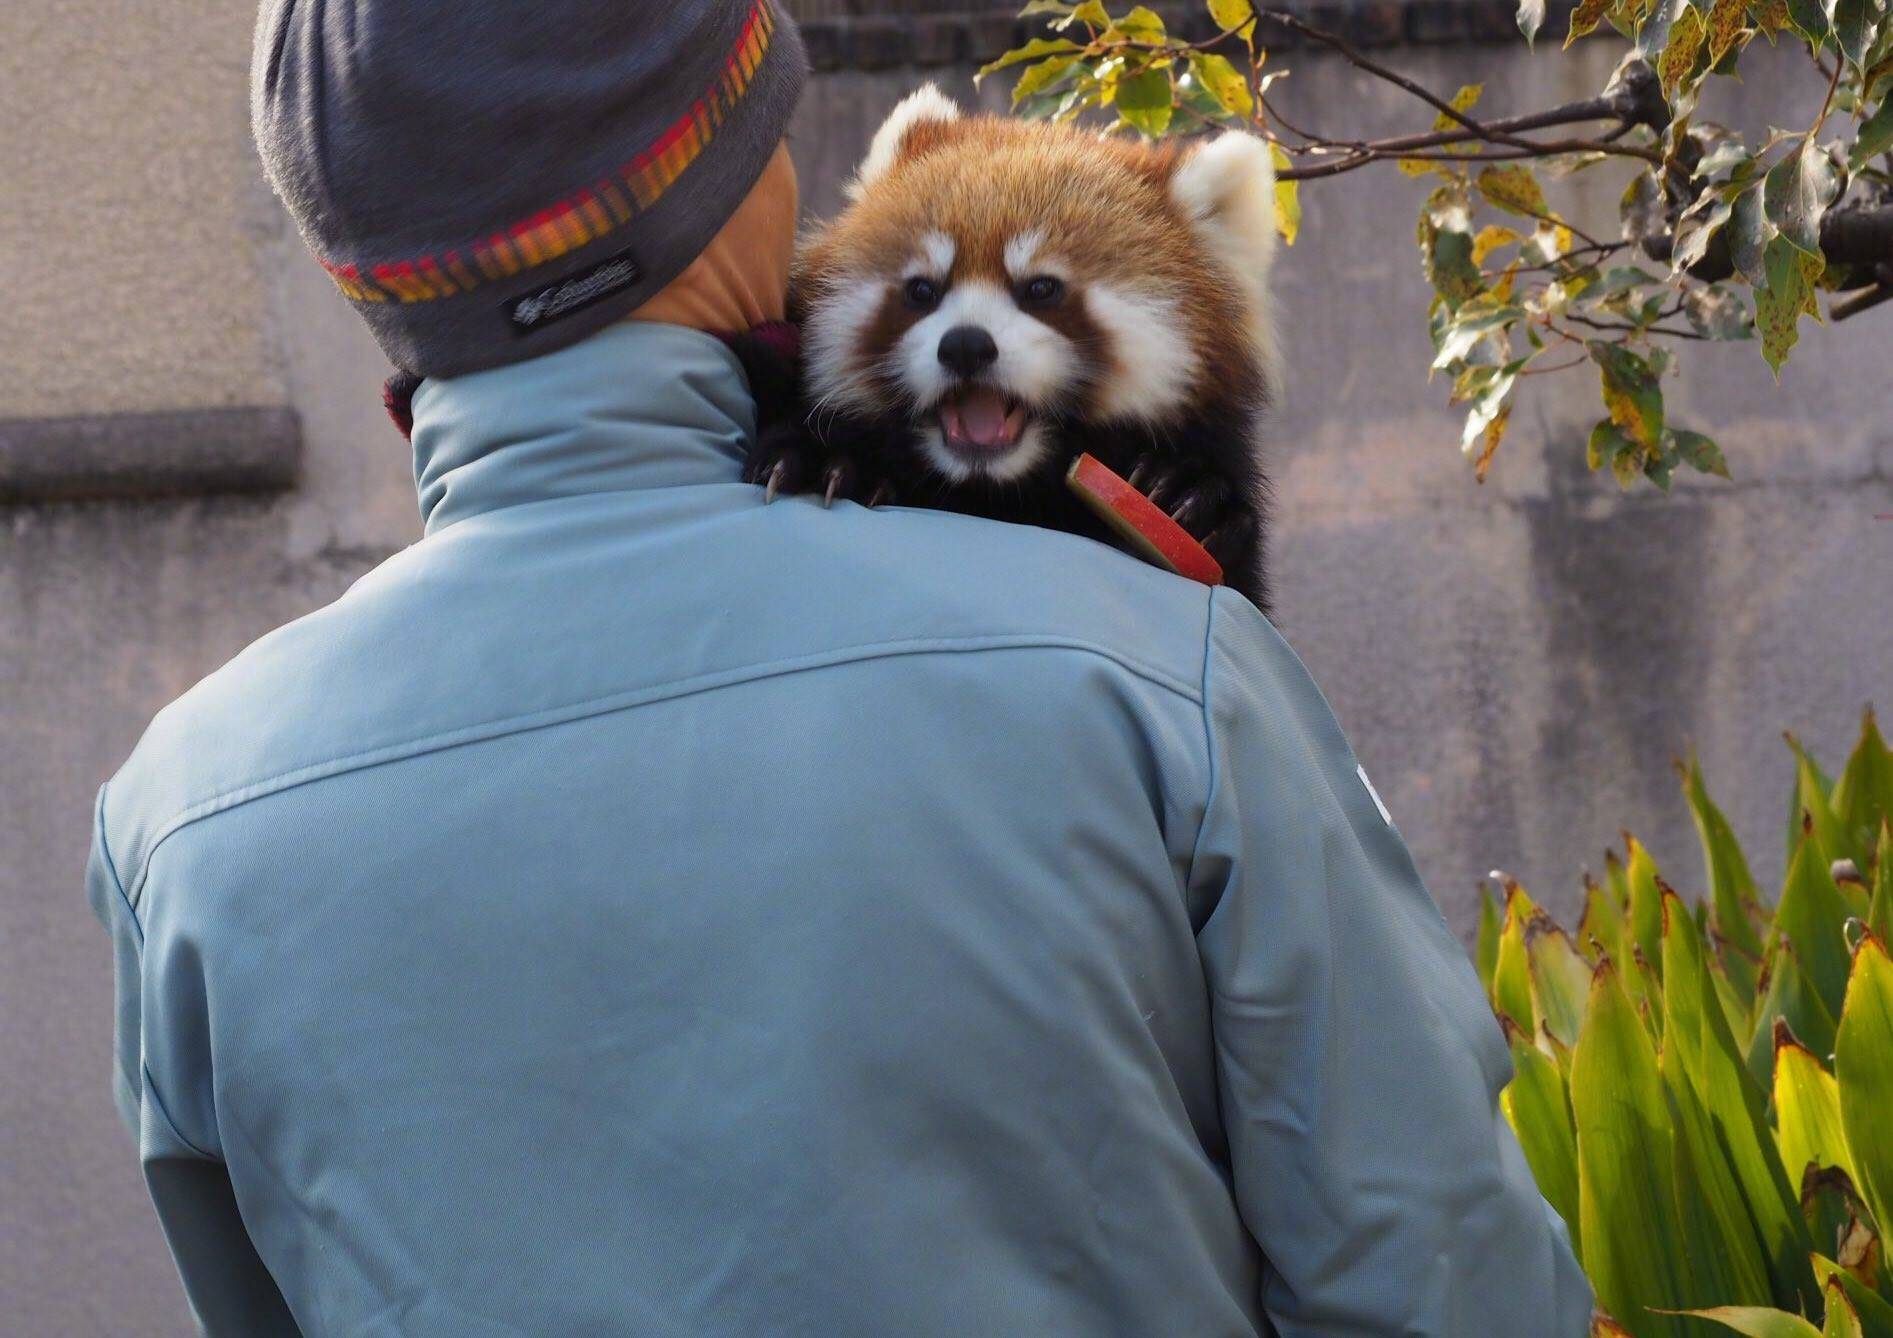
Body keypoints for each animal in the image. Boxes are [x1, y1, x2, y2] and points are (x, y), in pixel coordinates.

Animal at [730, 83, 1279, 605]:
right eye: (922, 291)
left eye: (1041, 289)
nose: (965, 346)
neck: (993, 492)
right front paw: (827, 462)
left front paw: (1192, 496)